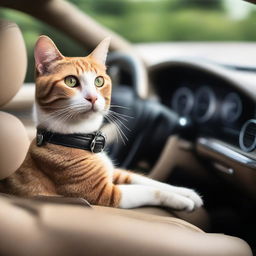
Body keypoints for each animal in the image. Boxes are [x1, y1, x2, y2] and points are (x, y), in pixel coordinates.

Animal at [0, 36, 204, 211]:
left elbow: (145, 179)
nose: (93, 98)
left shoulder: (116, 172)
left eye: (99, 81)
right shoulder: (102, 193)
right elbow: (147, 190)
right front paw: (181, 200)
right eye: (70, 81)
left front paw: (187, 192)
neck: (78, 137)